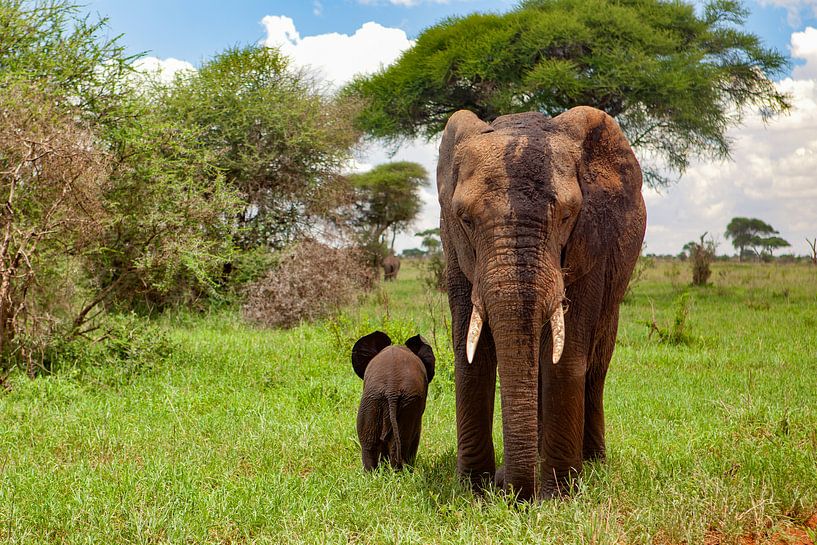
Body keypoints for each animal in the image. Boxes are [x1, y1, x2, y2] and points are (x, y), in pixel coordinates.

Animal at [437, 106, 646, 500]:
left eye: (566, 216)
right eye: (466, 219)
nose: (512, 492)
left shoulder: (591, 239)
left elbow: (566, 357)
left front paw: (559, 494)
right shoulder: (453, 244)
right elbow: (471, 355)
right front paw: (474, 490)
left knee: (596, 366)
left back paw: (592, 461)